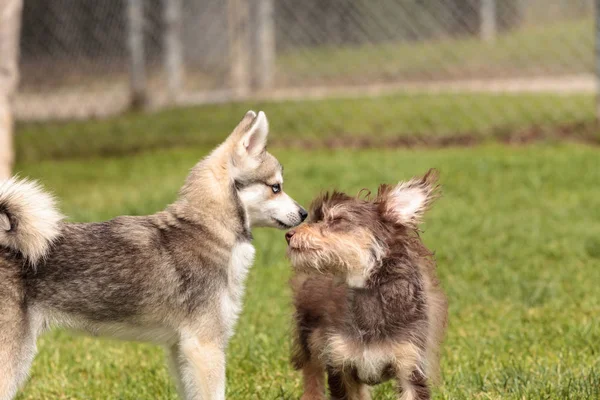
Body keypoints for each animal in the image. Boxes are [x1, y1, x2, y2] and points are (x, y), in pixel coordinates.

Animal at [286, 170, 446, 400]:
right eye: (315, 219)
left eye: (337, 219)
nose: (289, 234)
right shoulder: (339, 362)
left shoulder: (410, 366)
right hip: (311, 341)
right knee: (312, 378)